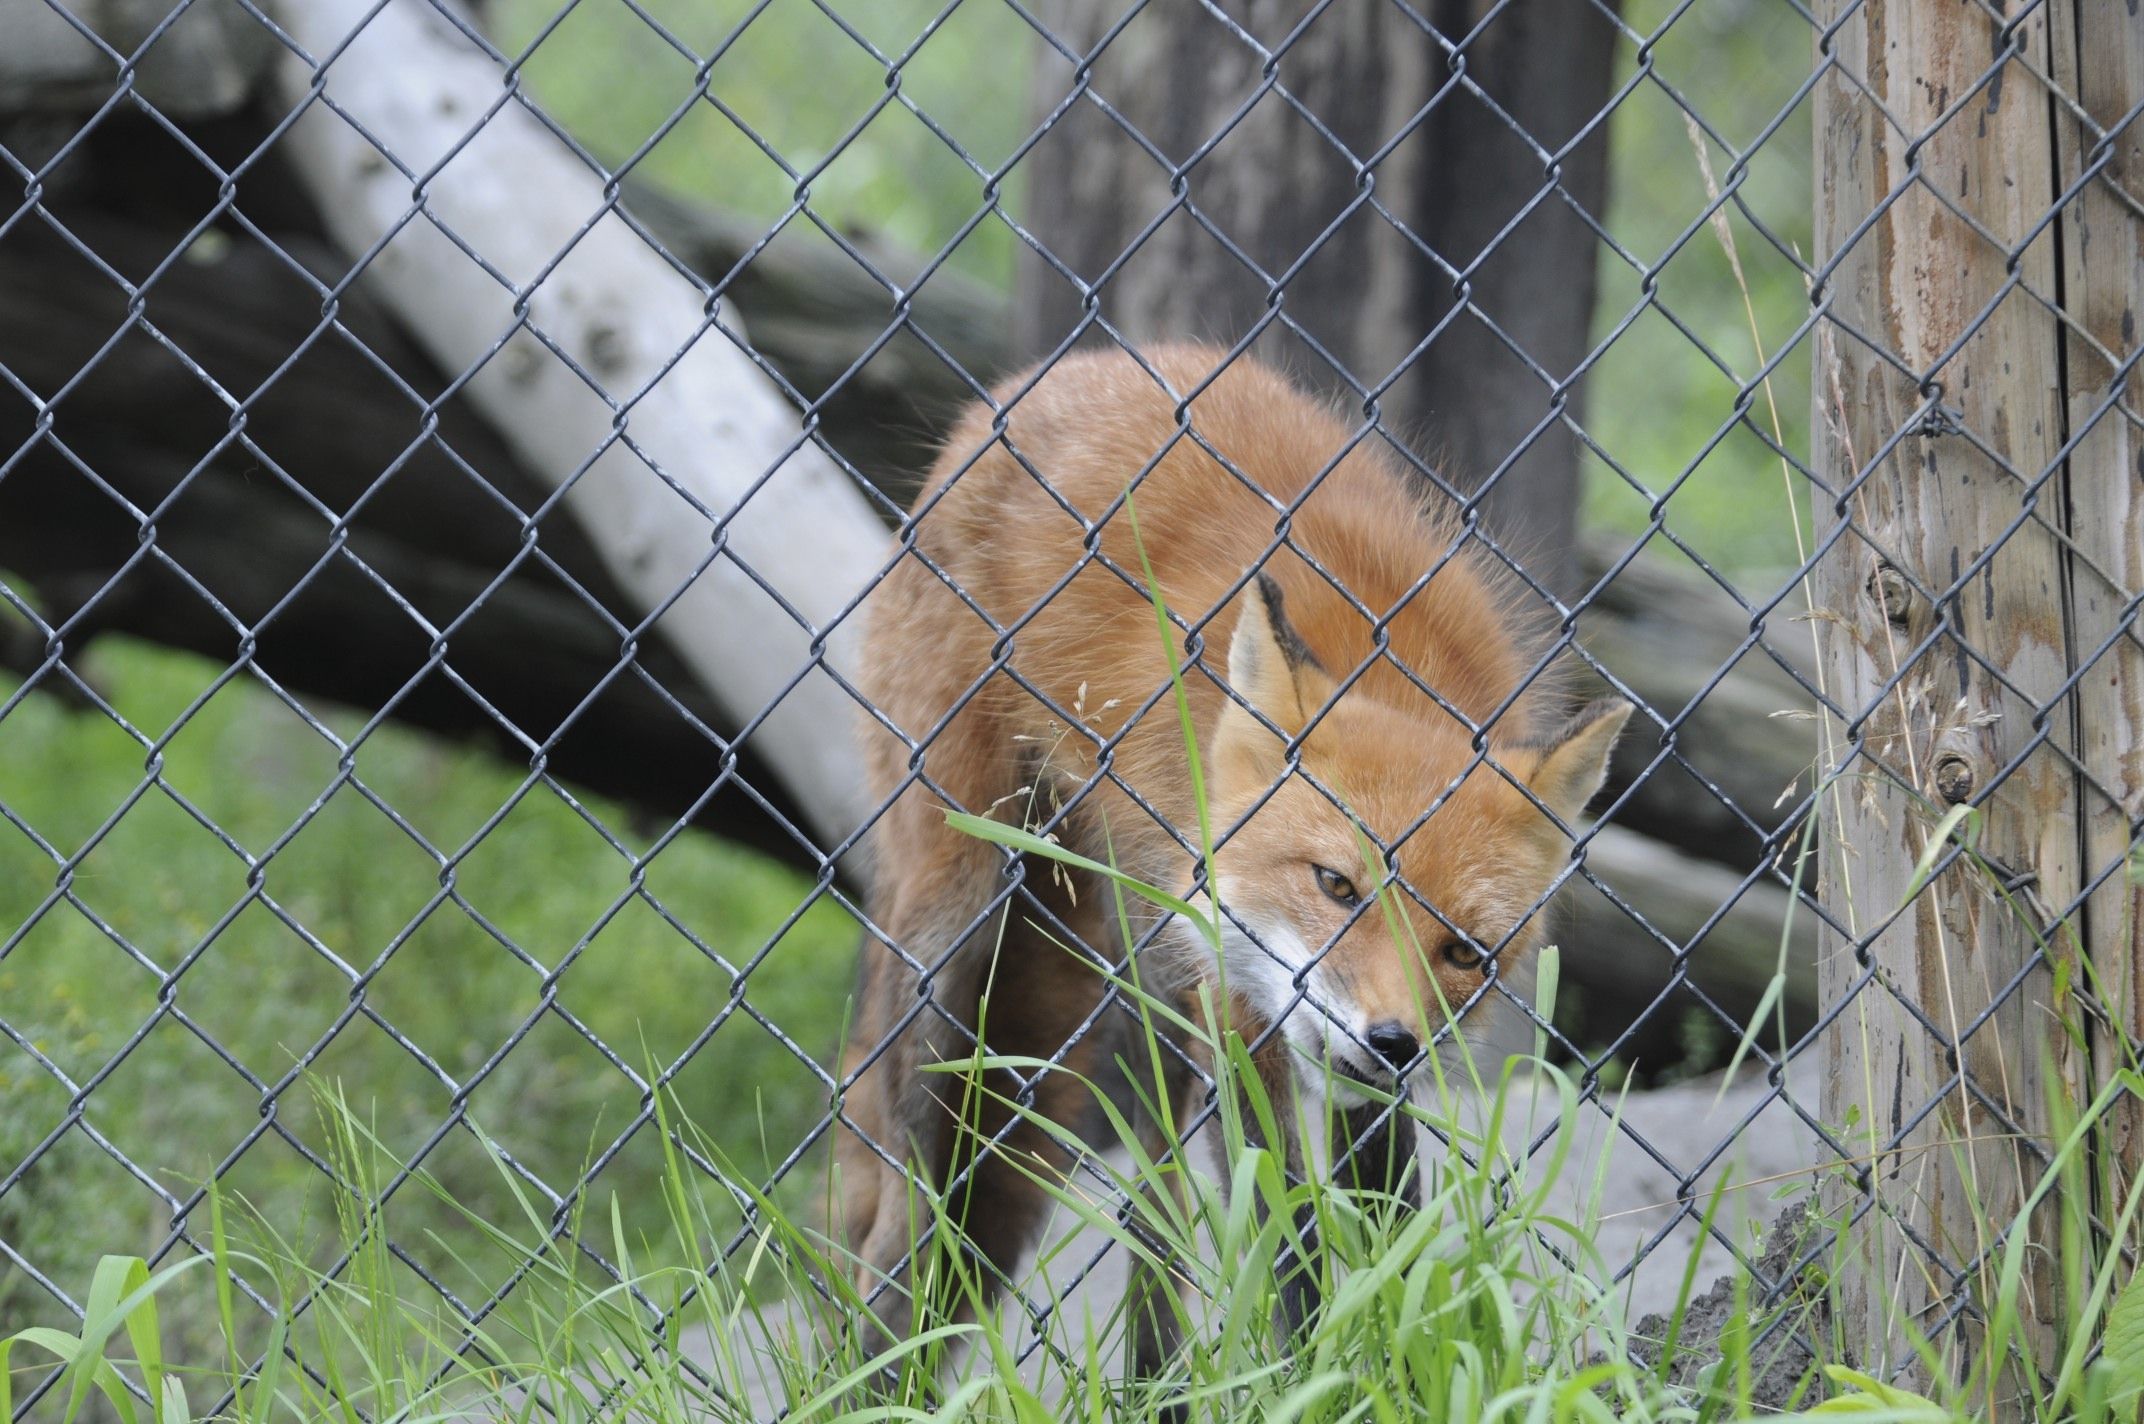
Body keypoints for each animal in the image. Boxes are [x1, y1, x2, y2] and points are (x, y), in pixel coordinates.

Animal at [836, 338, 1620, 1363]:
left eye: (1464, 950)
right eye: (1335, 885)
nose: (1394, 1041)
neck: (1388, 661)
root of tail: (1052, 374)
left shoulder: (1337, 1061)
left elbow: (1387, 1228)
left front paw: (1386, 1372)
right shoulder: (1241, 1006)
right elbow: (1292, 1242)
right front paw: (1312, 1373)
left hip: (1124, 985)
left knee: (1150, 1202)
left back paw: (1150, 1377)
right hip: (953, 925)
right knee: (908, 1206)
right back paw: (881, 1364)